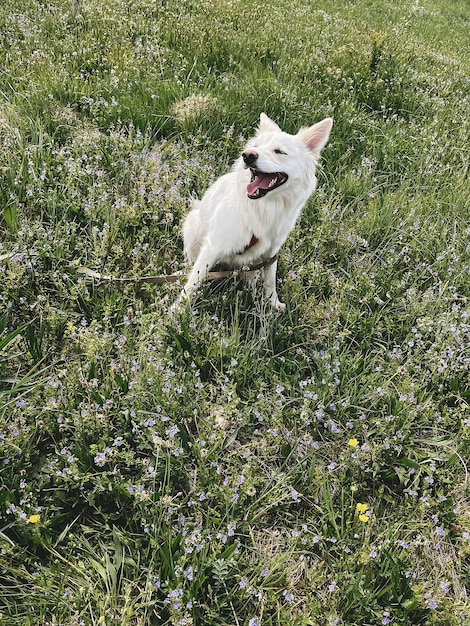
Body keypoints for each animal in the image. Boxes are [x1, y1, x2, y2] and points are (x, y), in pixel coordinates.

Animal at [175, 113, 330, 310]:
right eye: (255, 146)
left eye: (279, 152)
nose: (247, 155)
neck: (265, 206)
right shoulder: (213, 246)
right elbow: (193, 281)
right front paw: (176, 311)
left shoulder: (271, 251)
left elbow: (270, 279)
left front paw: (272, 303)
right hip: (193, 226)